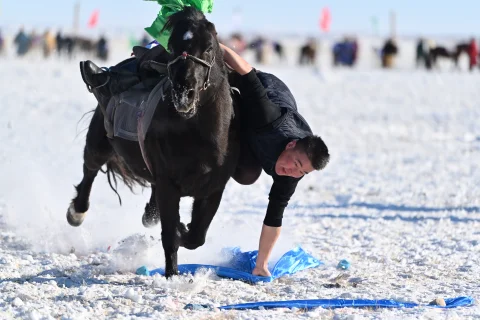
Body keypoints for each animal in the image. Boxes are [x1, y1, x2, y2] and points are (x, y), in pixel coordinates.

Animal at [67, 6, 240, 278]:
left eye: (209, 47)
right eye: (173, 46)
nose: (183, 93)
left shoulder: (214, 188)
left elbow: (197, 236)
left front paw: (183, 230)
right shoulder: (169, 185)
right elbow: (170, 234)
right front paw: (172, 275)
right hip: (98, 144)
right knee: (90, 171)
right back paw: (77, 212)